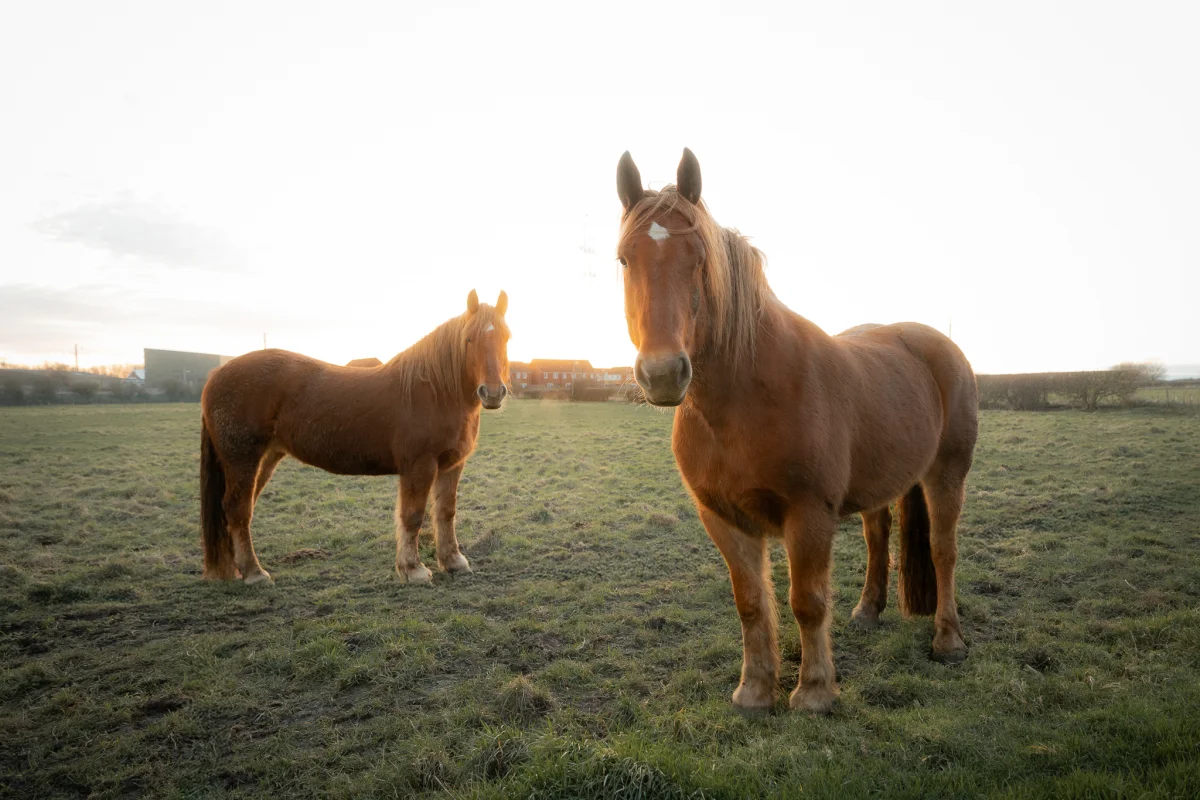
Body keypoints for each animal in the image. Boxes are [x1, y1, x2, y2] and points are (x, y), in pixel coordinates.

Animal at [199, 290, 511, 586]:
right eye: (469, 339)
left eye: (506, 337)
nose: (493, 392)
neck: (436, 390)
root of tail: (217, 373)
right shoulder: (419, 466)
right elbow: (412, 516)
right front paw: (413, 570)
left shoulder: (451, 465)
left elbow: (446, 512)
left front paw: (454, 562)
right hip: (242, 460)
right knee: (238, 510)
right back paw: (254, 573)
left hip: (264, 459)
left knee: (238, 510)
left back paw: (238, 569)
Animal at [615, 149, 978, 714]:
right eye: (625, 260)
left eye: (699, 257)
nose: (662, 373)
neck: (743, 401)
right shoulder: (723, 517)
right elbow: (750, 602)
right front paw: (754, 690)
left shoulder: (808, 514)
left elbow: (806, 602)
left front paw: (814, 692)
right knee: (878, 537)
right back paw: (867, 611)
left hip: (947, 474)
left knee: (944, 550)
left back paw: (948, 641)